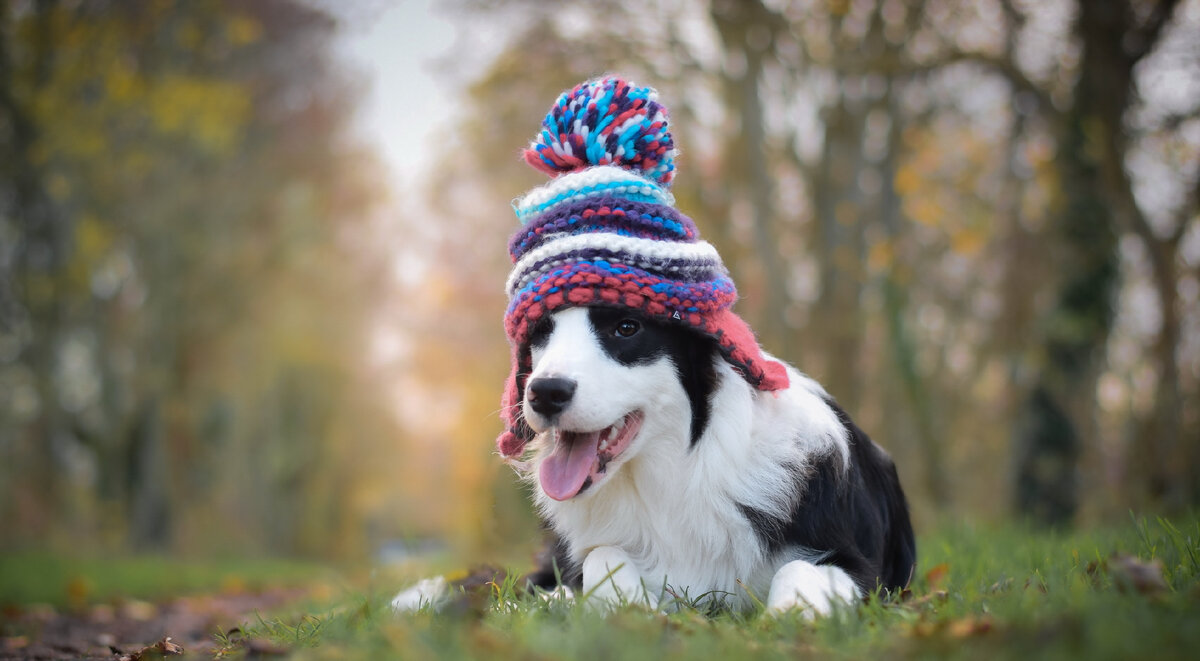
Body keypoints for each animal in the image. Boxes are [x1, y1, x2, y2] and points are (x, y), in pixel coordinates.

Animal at [398, 303, 912, 614]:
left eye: (626, 328)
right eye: (542, 333)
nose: (544, 392)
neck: (673, 472)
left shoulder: (864, 569)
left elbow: (799, 568)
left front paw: (793, 614)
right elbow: (602, 556)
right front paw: (628, 606)